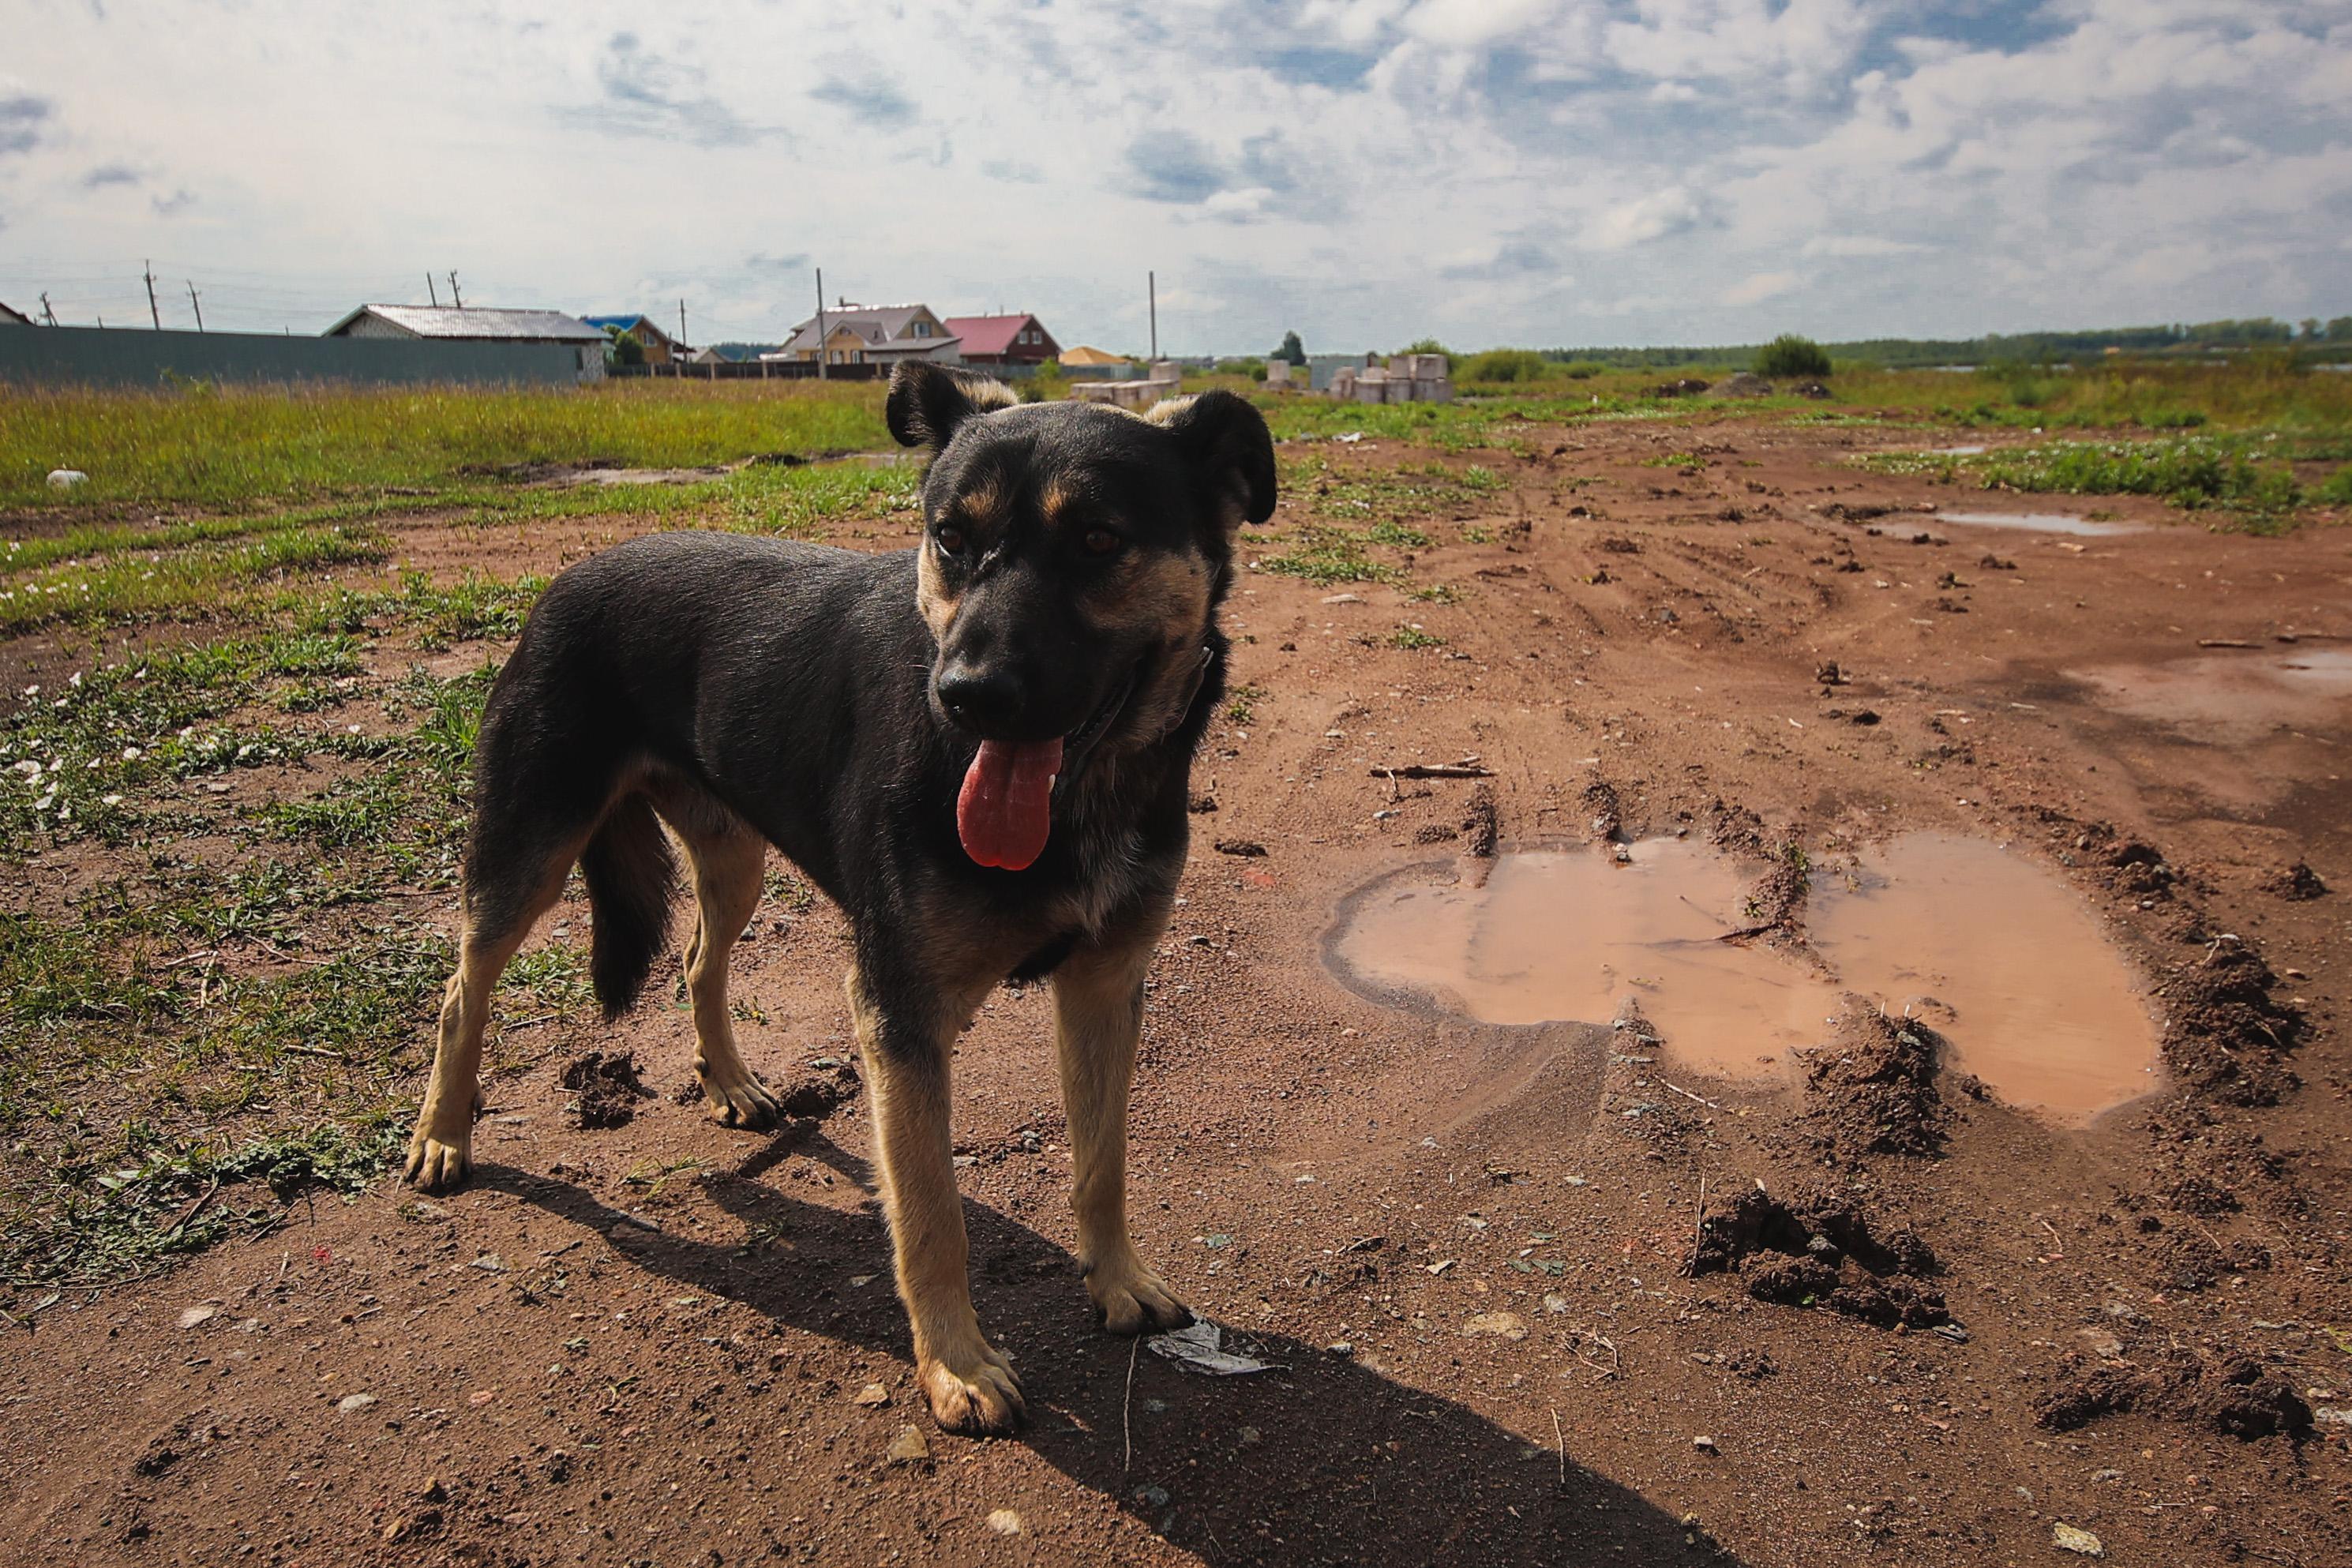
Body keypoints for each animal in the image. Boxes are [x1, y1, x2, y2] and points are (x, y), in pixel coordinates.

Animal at [409, 364, 1289, 1439]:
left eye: (1096, 540)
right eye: (951, 537)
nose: (967, 696)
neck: (1081, 797)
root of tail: (576, 572)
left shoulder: (1105, 983)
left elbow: (1102, 1160)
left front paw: (1117, 1281)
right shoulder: (898, 1014)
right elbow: (930, 1211)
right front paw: (955, 1365)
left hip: (733, 859)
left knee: (698, 960)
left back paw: (731, 1085)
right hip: (530, 849)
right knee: (464, 990)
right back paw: (442, 1137)